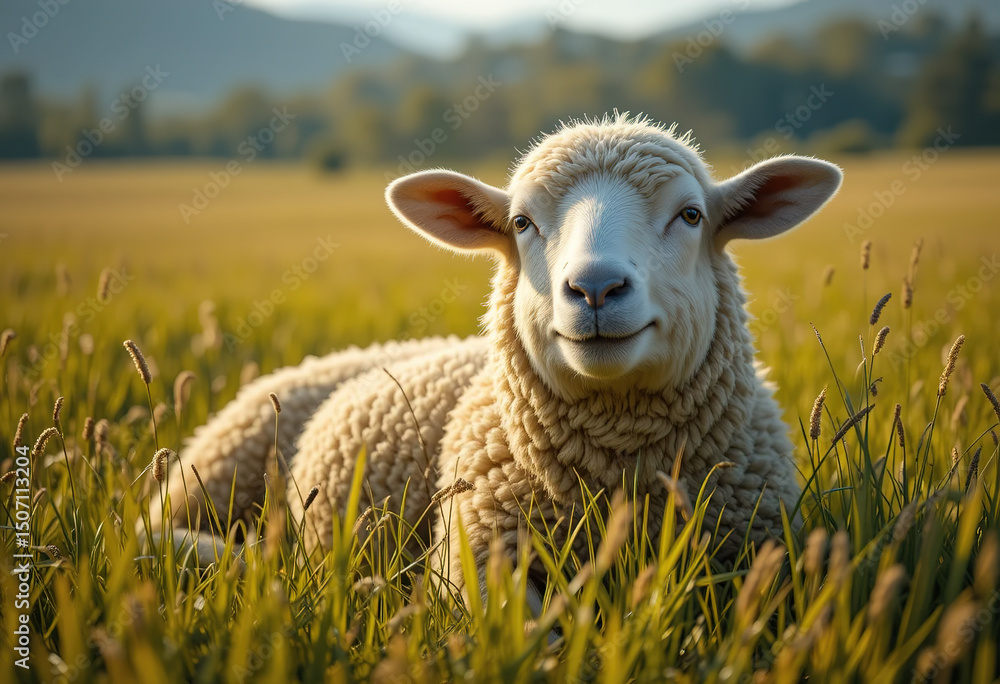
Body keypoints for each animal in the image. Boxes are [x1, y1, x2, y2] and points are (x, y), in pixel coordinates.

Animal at [147, 115, 841, 600]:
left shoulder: (759, 559)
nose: (595, 288)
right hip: (213, 469)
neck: (619, 472)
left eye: (692, 215)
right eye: (521, 223)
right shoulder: (473, 565)